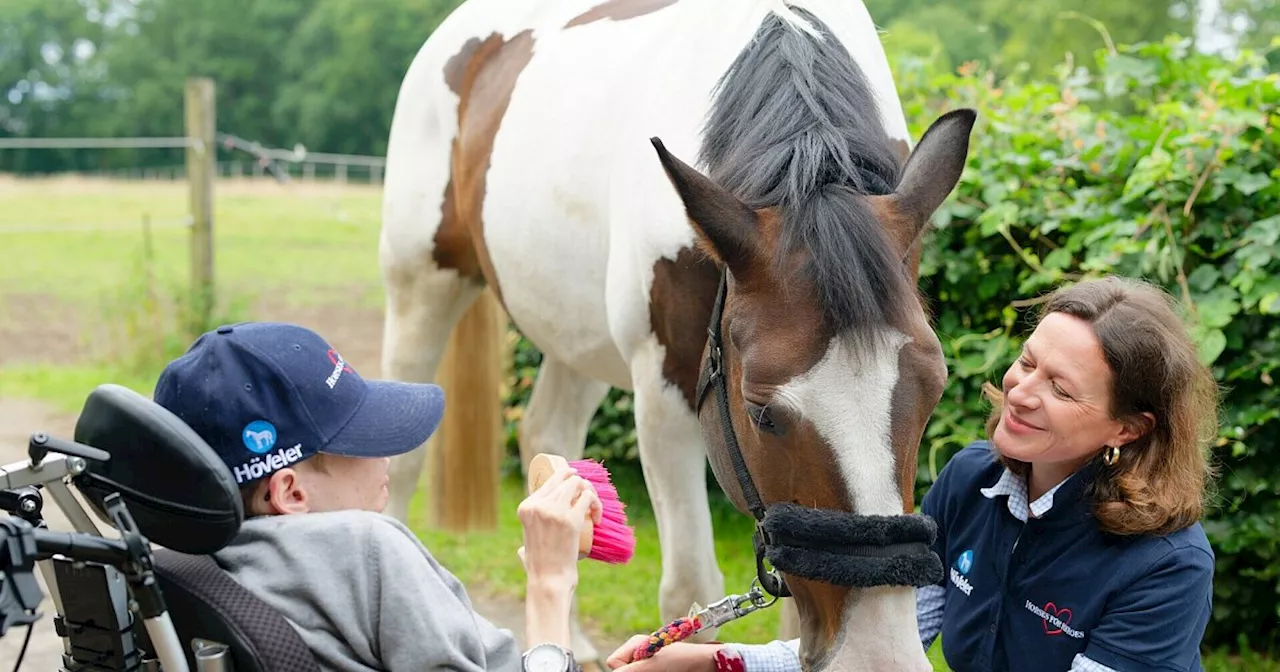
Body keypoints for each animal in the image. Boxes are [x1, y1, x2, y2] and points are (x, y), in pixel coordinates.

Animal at [373, 1, 972, 665]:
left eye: (934, 391)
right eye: (761, 412)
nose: (879, 655)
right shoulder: (666, 393)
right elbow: (690, 587)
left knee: (547, 435)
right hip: (424, 286)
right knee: (402, 459)